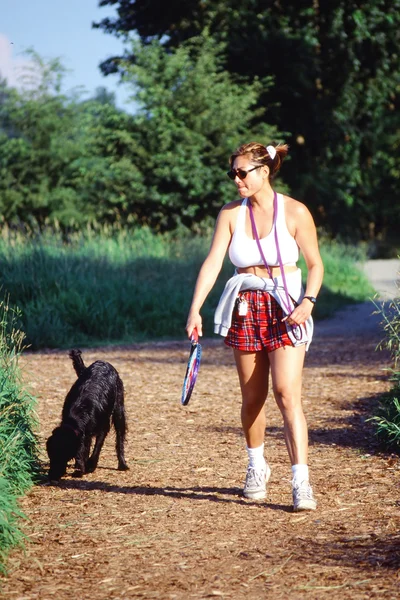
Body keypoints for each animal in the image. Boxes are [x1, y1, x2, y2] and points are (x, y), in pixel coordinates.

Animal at [46, 350, 129, 480]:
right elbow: (84, 447)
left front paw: (89, 465)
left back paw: (122, 464)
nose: (52, 475)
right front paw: (80, 466)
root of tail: (103, 362)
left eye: (61, 454)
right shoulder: (85, 434)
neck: (79, 412)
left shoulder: (102, 427)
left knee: (119, 437)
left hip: (119, 409)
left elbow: (96, 446)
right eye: (51, 455)